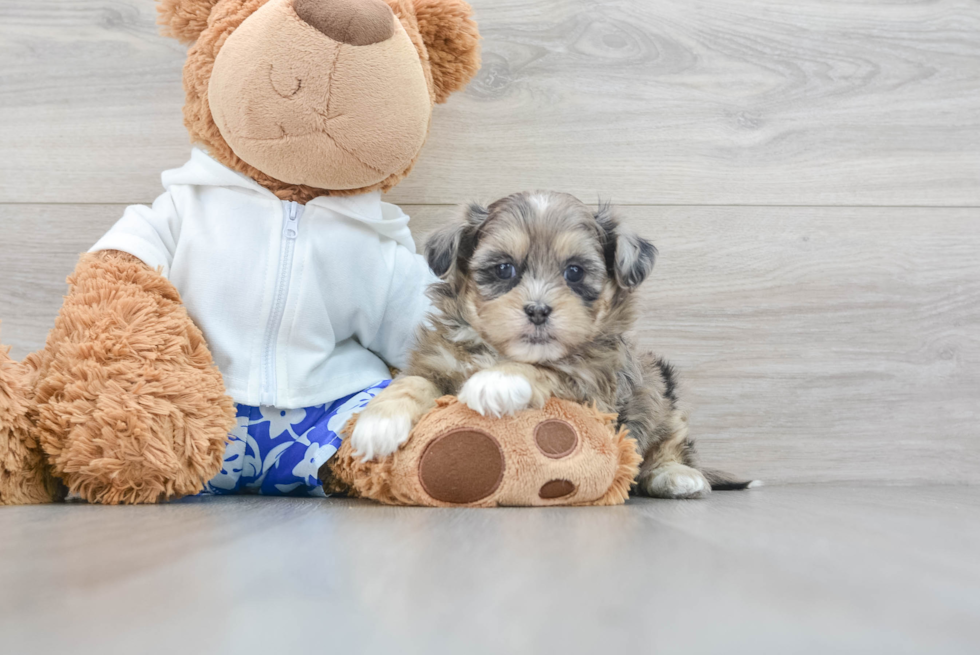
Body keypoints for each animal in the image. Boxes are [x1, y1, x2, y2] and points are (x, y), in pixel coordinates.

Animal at [352, 192, 756, 500]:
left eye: (574, 272)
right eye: (504, 269)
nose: (538, 310)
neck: (499, 351)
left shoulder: (593, 386)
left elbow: (547, 367)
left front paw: (497, 381)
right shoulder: (438, 360)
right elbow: (411, 382)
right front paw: (377, 422)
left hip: (659, 390)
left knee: (670, 444)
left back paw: (677, 477)